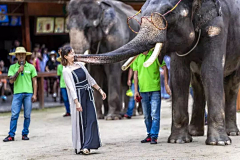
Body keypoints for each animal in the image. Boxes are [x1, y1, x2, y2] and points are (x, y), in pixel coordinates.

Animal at [75, 0, 240, 145]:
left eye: (168, 14)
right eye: (141, 15)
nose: (71, 56)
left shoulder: (217, 26)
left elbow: (211, 71)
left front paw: (219, 143)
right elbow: (180, 75)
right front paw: (178, 141)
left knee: (231, 85)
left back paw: (232, 133)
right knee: (197, 84)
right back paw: (195, 133)